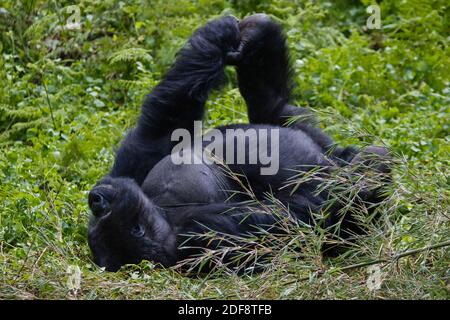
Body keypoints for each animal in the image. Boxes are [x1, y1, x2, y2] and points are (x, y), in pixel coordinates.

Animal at [87, 14, 390, 270]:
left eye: (99, 213)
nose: (95, 199)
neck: (162, 213)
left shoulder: (129, 169)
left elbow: (162, 128)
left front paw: (213, 38)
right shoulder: (204, 233)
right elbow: (309, 213)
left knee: (275, 111)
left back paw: (257, 39)